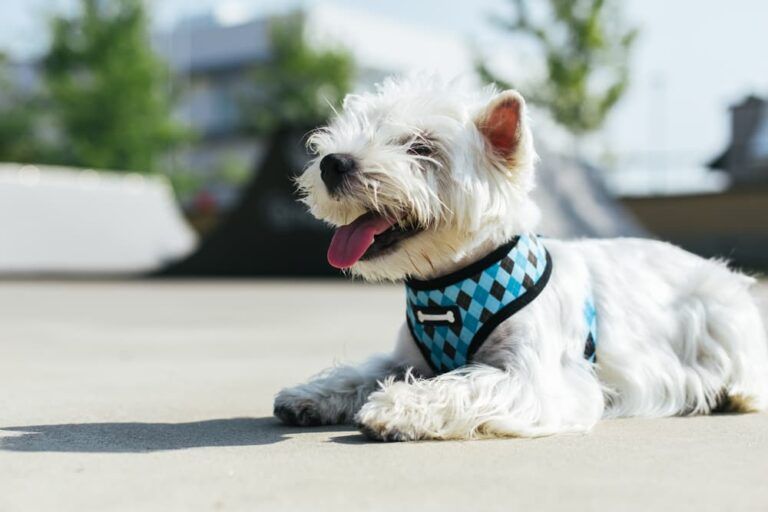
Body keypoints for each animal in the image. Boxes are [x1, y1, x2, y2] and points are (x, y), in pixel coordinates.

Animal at [274, 75, 768, 440]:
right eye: (356, 130)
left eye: (421, 147)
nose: (333, 163)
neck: (450, 285)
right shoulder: (404, 356)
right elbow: (363, 371)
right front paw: (309, 396)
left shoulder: (532, 376)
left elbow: (464, 383)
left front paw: (397, 407)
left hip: (721, 311)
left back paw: (734, 393)